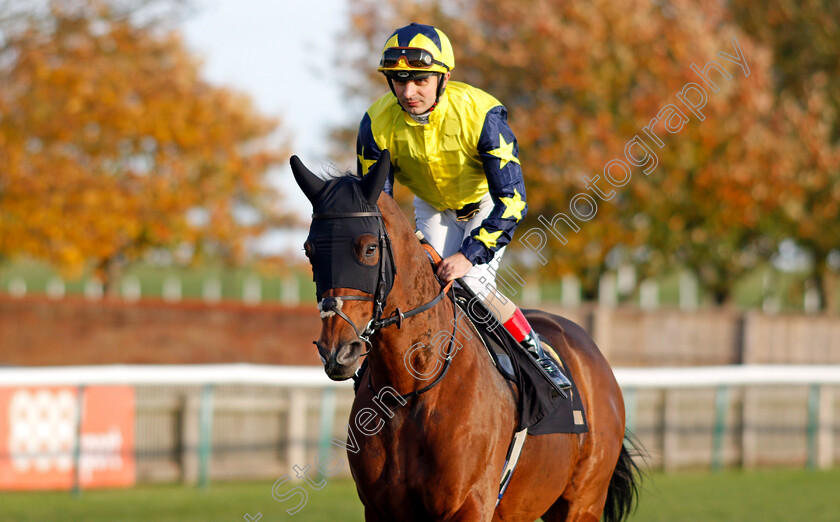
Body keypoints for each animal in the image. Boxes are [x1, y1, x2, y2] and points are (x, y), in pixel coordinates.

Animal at [292, 151, 640, 520]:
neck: (410, 389)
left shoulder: (469, 503)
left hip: (582, 502)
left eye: (369, 248)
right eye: (309, 250)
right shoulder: (378, 508)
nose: (337, 351)